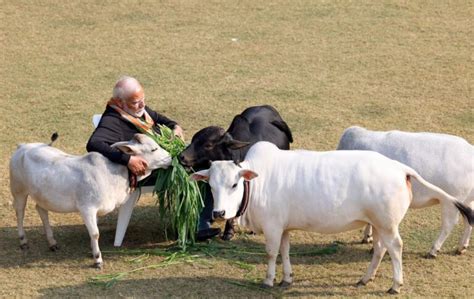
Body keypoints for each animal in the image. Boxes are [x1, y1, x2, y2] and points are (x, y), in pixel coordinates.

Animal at [9, 134, 171, 270]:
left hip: (42, 196)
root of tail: (22, 146)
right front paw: (98, 260)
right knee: (19, 213)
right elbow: (95, 233)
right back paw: (23, 241)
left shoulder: (96, 211)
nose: (170, 158)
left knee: (41, 210)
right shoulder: (87, 208)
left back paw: (52, 243)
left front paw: (93, 251)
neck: (112, 175)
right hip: (18, 190)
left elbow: (93, 231)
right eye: (154, 149)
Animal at [191, 142, 472, 294]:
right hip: (379, 225)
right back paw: (365, 278)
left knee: (395, 248)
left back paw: (395, 284)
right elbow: (284, 251)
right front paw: (287, 277)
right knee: (380, 249)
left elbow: (271, 254)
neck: (259, 181)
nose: (219, 213)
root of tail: (399, 168)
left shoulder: (272, 226)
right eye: (211, 186)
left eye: (234, 184)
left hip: (388, 224)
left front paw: (268, 280)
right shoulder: (284, 227)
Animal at [336, 126, 474, 258]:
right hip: (465, 200)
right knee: (469, 218)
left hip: (453, 200)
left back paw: (434, 250)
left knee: (449, 224)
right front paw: (367, 236)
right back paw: (462, 247)